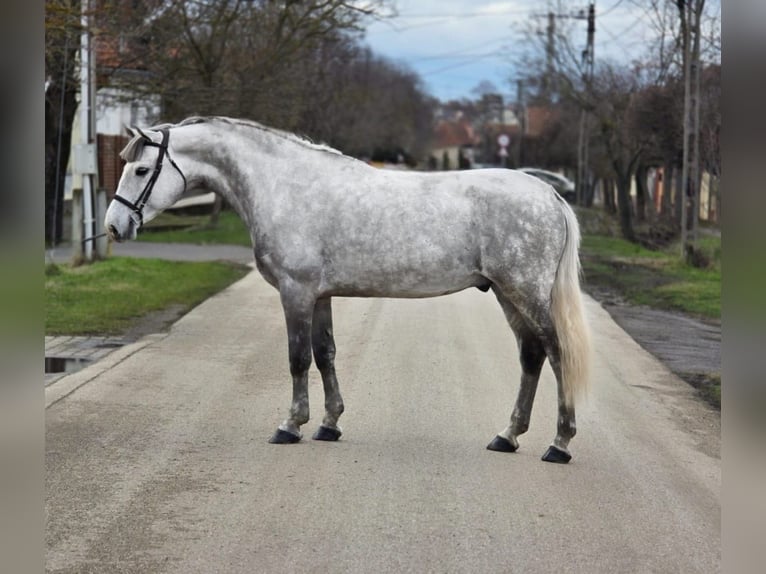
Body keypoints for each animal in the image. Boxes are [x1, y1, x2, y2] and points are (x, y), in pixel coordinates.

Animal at [105, 116, 591, 463]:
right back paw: (508, 436)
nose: (114, 225)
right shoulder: (320, 296)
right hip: (509, 295)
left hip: (526, 292)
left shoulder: (296, 292)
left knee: (556, 353)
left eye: (142, 169)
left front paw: (291, 425)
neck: (286, 187)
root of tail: (548, 193)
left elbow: (298, 358)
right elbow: (325, 353)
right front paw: (329, 424)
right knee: (531, 357)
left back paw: (560, 443)